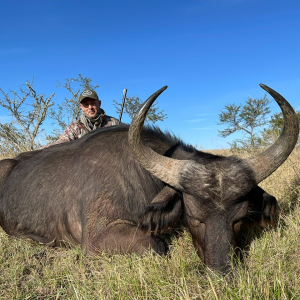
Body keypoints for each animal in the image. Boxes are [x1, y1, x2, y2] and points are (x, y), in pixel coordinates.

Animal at [0, 83, 298, 274]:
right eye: (194, 218)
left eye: (239, 219)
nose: (222, 273)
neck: (141, 171)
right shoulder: (97, 240)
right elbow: (157, 245)